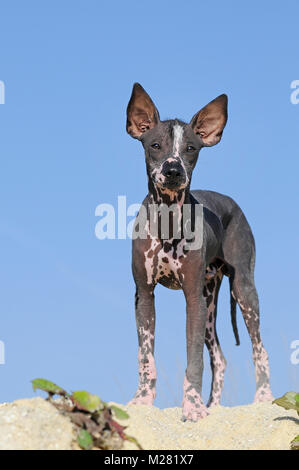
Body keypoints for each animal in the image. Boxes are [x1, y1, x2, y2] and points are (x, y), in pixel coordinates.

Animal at [126, 82, 274, 420]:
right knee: (219, 357)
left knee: (259, 349)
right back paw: (215, 408)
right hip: (210, 302)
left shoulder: (192, 297)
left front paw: (192, 408)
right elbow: (146, 357)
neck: (167, 218)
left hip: (242, 290)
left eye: (191, 149)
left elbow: (193, 360)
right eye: (155, 145)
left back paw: (263, 398)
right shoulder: (144, 295)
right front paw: (142, 400)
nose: (173, 170)